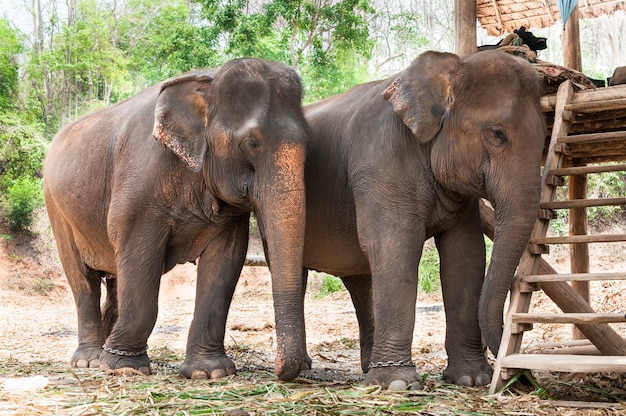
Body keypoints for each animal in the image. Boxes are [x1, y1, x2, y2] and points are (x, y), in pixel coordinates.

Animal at [40, 57, 308, 380]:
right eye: (251, 143)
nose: (280, 370)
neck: (208, 80)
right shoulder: (138, 185)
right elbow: (138, 254)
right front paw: (125, 368)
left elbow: (226, 260)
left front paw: (209, 372)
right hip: (57, 207)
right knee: (83, 279)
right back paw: (90, 361)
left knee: (114, 278)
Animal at [300, 50, 544, 388]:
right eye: (498, 135)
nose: (523, 378)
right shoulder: (380, 162)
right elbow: (396, 248)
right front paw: (397, 384)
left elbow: (465, 254)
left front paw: (472, 379)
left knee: (359, 279)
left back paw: (366, 368)